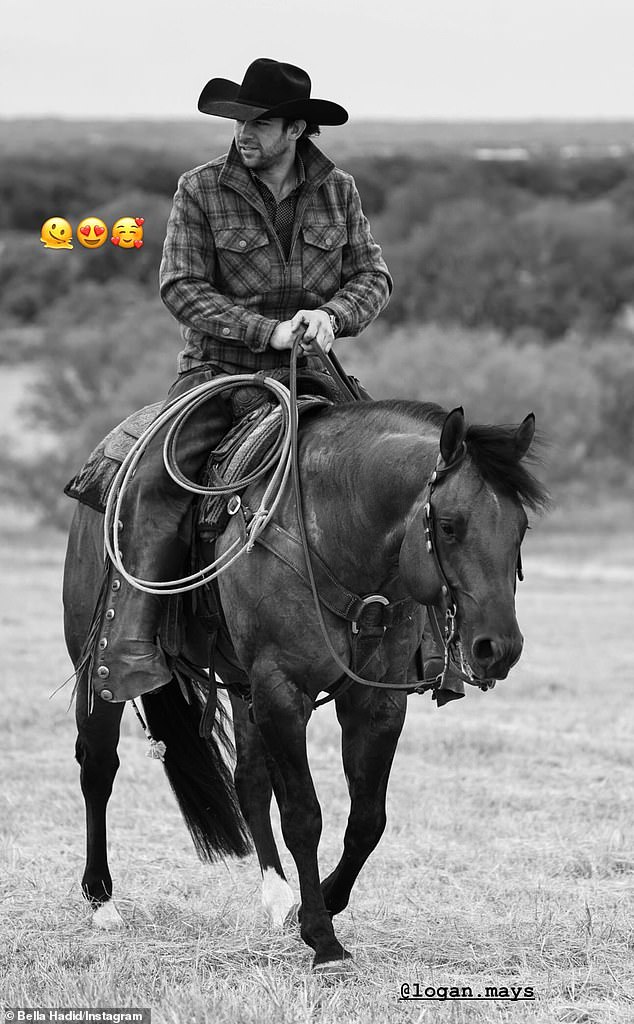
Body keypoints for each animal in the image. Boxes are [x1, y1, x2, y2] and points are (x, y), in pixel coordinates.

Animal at [65, 397, 548, 966]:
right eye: (449, 526)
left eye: (520, 528)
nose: (499, 649)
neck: (339, 531)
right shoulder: (281, 690)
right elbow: (303, 815)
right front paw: (323, 937)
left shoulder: (373, 701)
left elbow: (367, 819)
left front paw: (324, 903)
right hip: (101, 673)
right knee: (99, 768)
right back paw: (102, 902)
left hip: (242, 686)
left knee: (249, 782)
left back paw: (277, 897)